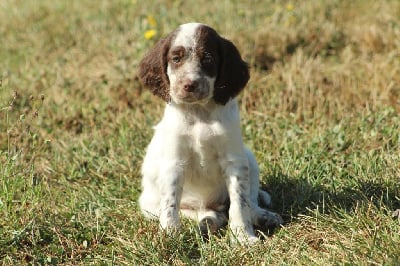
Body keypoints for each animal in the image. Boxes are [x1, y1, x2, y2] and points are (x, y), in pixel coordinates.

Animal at [138, 22, 282, 243]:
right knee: (204, 213)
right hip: (149, 206)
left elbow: (240, 203)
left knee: (250, 201)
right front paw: (169, 234)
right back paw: (209, 221)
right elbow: (170, 202)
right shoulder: (174, 162)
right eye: (176, 59)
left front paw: (242, 237)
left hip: (249, 158)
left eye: (208, 59)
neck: (200, 113)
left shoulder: (234, 161)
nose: (189, 85)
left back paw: (263, 216)